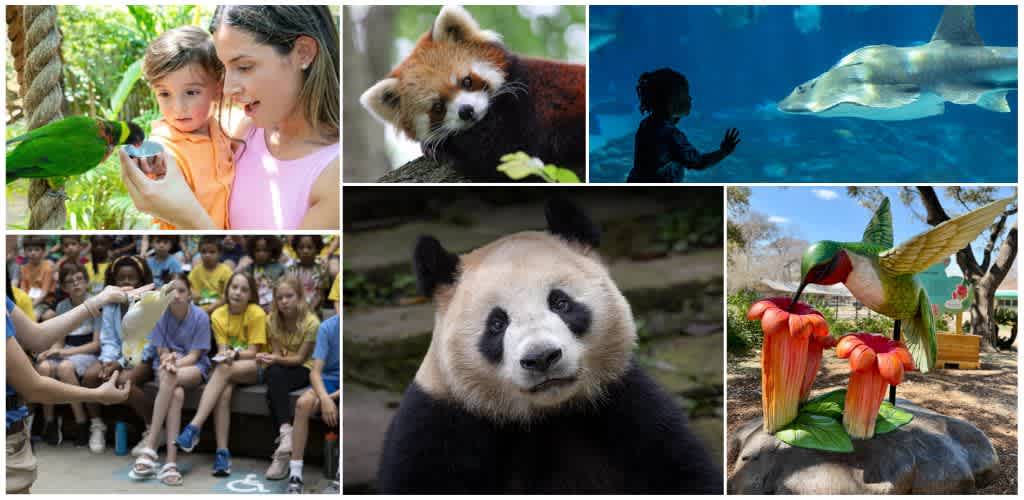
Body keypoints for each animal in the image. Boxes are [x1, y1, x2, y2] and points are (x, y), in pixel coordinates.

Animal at [360, 6, 586, 182]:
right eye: (438, 107)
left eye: (466, 81)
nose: (466, 111)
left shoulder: (526, 109)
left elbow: (498, 150)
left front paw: (439, 145)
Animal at [377, 198, 722, 494]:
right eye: (497, 324)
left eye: (560, 303)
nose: (541, 358)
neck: (545, 415)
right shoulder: (440, 424)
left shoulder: (626, 406)